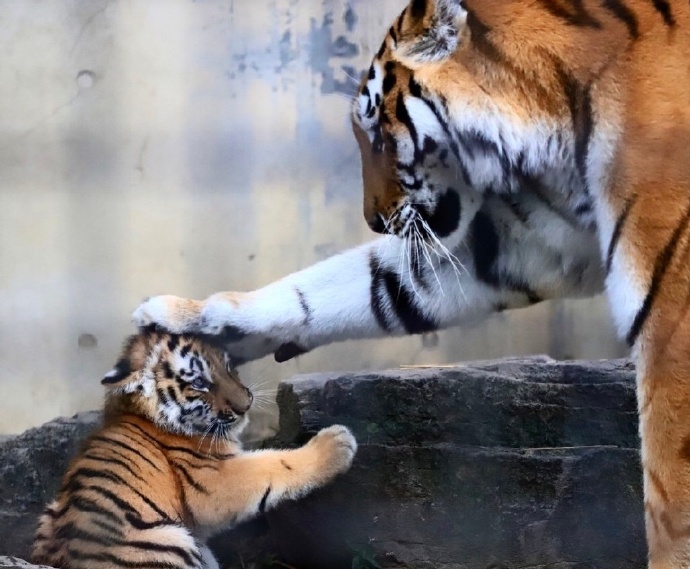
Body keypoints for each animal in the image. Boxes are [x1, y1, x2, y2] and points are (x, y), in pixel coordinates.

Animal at [133, 1, 688, 564]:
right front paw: (192, 321)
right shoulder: (519, 240)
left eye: (378, 133)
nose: (373, 220)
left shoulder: (672, 315)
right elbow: (364, 286)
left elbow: (670, 496)